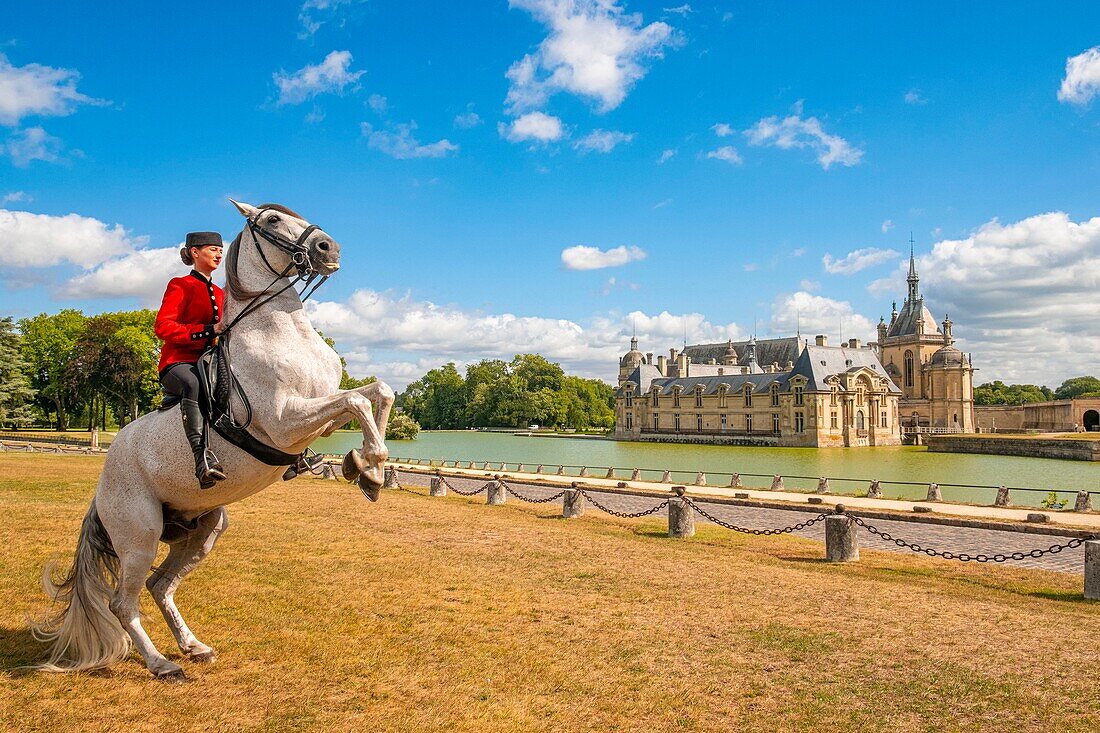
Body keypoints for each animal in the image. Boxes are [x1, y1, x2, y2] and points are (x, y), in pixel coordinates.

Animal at [32, 200, 393, 677]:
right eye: (272, 220)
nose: (328, 247)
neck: (281, 331)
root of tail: (101, 486)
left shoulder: (320, 418)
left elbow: (377, 394)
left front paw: (366, 467)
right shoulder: (286, 421)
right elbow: (356, 400)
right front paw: (367, 467)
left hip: (204, 529)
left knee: (161, 585)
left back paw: (193, 646)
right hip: (140, 535)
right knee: (122, 603)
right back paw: (162, 664)